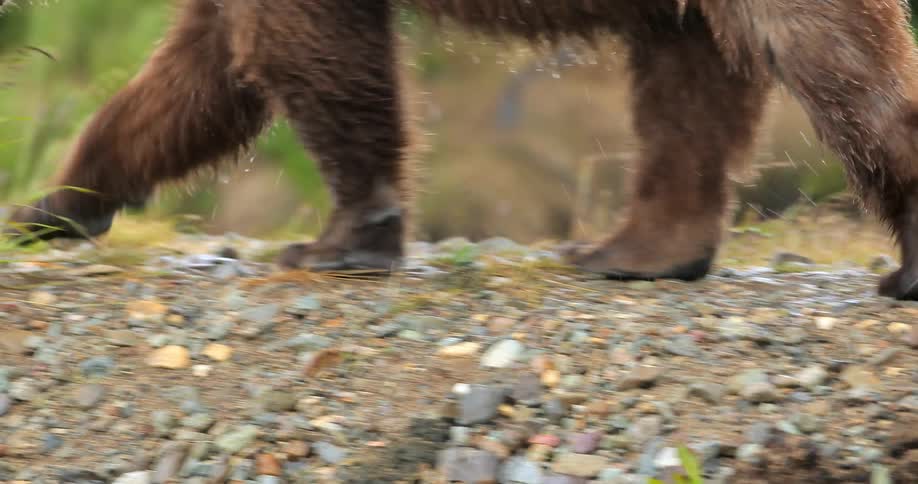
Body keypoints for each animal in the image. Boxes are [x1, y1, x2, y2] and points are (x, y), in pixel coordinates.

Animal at [5, 0, 918, 300]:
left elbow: (304, 50)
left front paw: (341, 239)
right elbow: (196, 78)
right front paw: (52, 205)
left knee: (828, 60)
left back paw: (905, 267)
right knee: (688, 88)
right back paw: (637, 252)